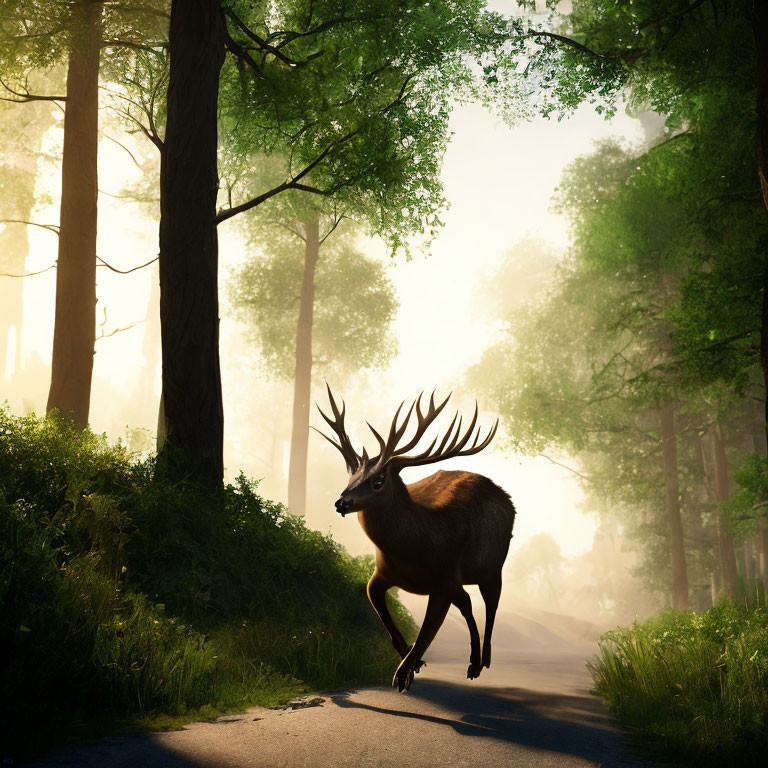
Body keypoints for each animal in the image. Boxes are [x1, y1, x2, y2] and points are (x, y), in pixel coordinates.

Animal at [312, 388, 516, 692]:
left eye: (379, 481)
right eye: (351, 475)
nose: (341, 502)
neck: (415, 550)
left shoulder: (444, 578)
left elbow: (428, 630)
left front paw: (403, 671)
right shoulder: (382, 573)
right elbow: (379, 606)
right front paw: (409, 660)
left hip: (494, 567)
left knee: (491, 605)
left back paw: (481, 662)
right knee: (467, 602)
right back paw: (470, 660)